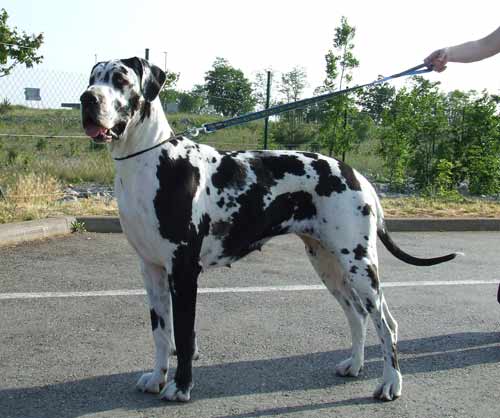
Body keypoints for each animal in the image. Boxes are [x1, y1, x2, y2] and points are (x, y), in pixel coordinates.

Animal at [80, 57, 459, 402]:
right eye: (92, 78)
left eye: (120, 79)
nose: (87, 99)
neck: (150, 161)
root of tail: (356, 174)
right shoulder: (152, 269)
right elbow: (161, 334)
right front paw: (157, 378)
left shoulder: (185, 272)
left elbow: (184, 338)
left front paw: (181, 387)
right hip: (328, 264)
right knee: (358, 315)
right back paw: (354, 364)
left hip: (360, 264)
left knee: (385, 322)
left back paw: (390, 383)